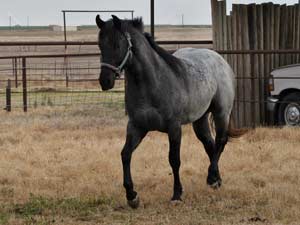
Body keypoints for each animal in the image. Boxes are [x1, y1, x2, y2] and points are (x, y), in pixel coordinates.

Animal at [95, 14, 245, 208]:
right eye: (100, 45)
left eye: (117, 45)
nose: (105, 81)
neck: (153, 83)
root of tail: (220, 60)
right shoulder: (136, 126)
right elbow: (125, 154)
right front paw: (132, 196)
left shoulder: (174, 128)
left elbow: (174, 160)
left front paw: (177, 194)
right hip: (200, 119)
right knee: (209, 144)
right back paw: (216, 180)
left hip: (221, 113)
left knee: (220, 141)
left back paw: (211, 178)